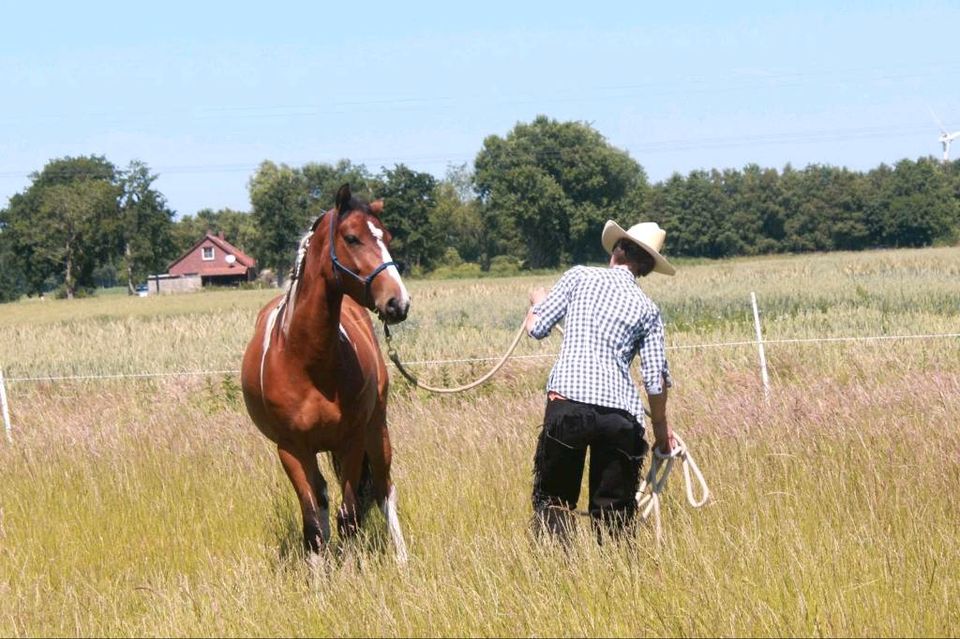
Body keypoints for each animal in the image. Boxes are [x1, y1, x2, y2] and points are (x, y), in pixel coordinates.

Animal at [242, 184, 410, 560]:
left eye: (387, 237)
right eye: (352, 237)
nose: (398, 302)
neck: (307, 362)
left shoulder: (351, 441)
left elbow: (349, 515)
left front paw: (351, 567)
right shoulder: (292, 450)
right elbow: (313, 522)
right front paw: (320, 571)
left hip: (377, 430)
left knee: (384, 490)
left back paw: (402, 558)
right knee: (322, 503)